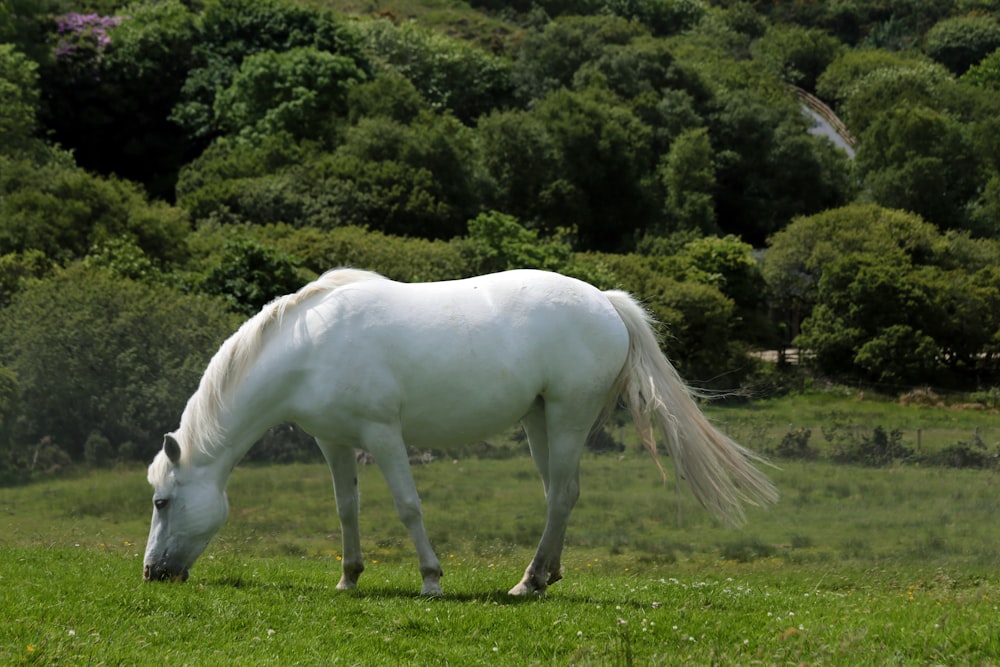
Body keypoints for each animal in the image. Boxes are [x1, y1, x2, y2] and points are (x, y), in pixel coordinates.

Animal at [145, 270, 776, 596]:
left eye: (161, 501)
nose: (153, 573)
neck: (310, 347)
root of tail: (606, 301)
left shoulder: (383, 434)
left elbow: (408, 506)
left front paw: (431, 579)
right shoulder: (335, 442)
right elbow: (346, 509)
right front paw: (349, 578)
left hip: (567, 416)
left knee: (562, 496)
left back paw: (528, 582)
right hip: (540, 420)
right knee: (559, 494)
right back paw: (546, 574)